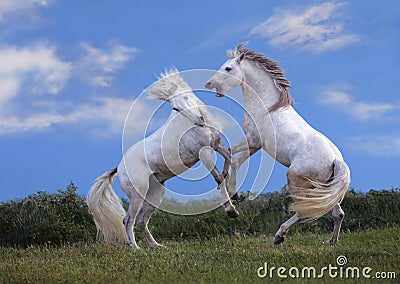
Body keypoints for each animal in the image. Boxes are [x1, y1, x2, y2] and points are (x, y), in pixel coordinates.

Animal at [87, 69, 238, 248]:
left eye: (186, 97)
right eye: (175, 108)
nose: (199, 121)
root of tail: (119, 168)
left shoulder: (217, 144)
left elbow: (230, 160)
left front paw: (234, 192)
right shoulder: (204, 154)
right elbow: (218, 178)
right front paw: (231, 211)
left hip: (155, 193)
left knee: (141, 221)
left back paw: (156, 246)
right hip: (137, 195)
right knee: (128, 220)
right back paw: (136, 248)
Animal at [206, 43, 350, 245]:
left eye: (228, 68)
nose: (209, 84)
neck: (267, 106)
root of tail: (336, 160)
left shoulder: (253, 139)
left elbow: (231, 154)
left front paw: (231, 191)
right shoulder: (256, 145)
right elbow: (234, 157)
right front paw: (234, 193)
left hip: (295, 179)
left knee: (301, 210)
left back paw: (279, 236)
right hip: (328, 189)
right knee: (338, 214)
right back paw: (331, 241)